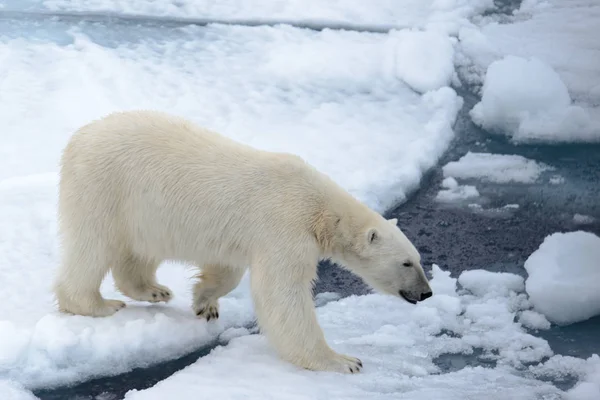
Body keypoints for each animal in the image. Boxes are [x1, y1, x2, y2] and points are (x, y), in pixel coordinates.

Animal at [52, 109, 432, 372]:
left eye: (418, 259)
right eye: (406, 262)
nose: (426, 293)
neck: (320, 208)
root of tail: (79, 137)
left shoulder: (244, 236)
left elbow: (228, 270)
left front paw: (204, 302)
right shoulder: (286, 226)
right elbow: (282, 294)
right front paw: (343, 361)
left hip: (143, 213)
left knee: (137, 252)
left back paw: (155, 290)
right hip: (105, 188)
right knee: (92, 247)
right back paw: (99, 304)